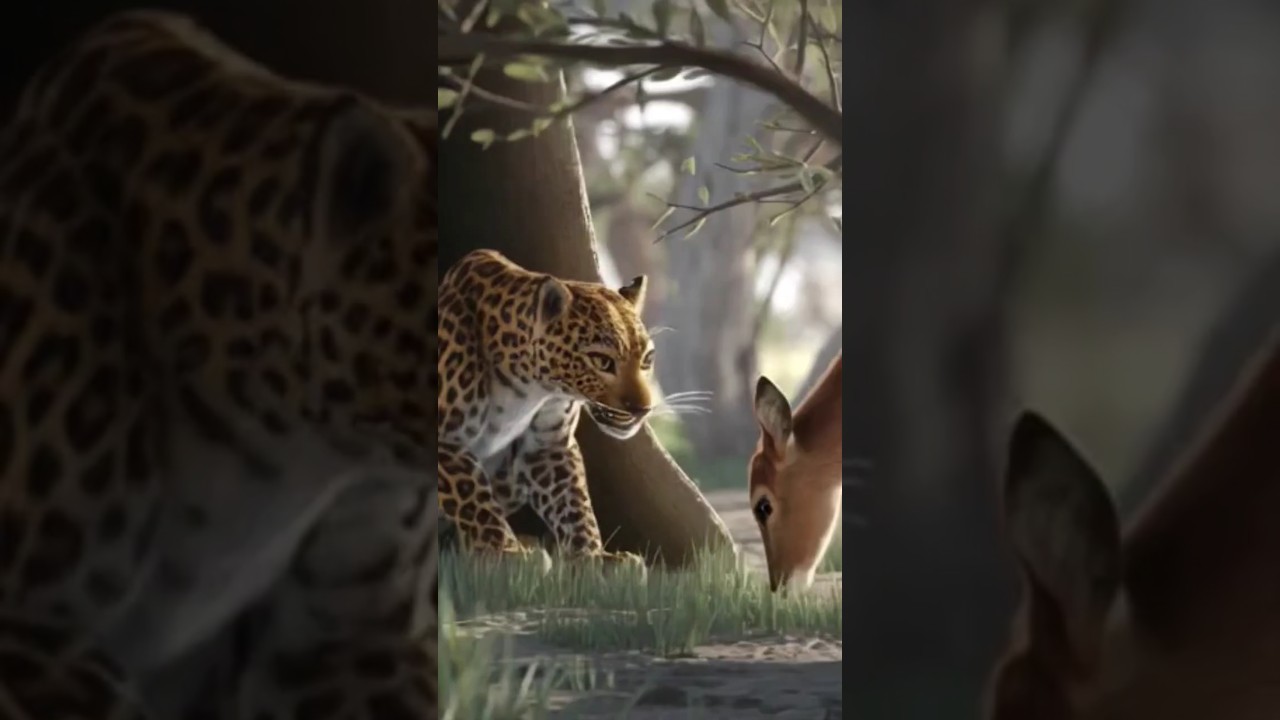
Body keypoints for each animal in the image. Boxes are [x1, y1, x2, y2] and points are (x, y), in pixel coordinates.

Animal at [437, 248, 657, 570]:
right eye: (602, 361)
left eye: (647, 360)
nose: (643, 409)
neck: (530, 388)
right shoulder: (447, 441)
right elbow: (474, 499)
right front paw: (507, 554)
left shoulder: (548, 445)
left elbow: (574, 503)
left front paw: (595, 558)